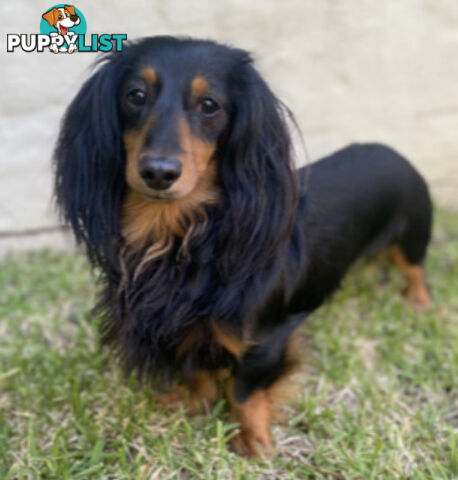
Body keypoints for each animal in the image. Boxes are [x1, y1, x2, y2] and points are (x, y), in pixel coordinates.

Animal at [54, 34, 432, 458]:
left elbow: (243, 391)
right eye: (135, 95)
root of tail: (391, 150)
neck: (182, 236)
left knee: (416, 268)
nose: (158, 172)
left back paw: (419, 301)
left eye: (209, 105)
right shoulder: (183, 327)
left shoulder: (265, 340)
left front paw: (252, 439)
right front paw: (195, 402)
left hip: (413, 233)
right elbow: (197, 371)